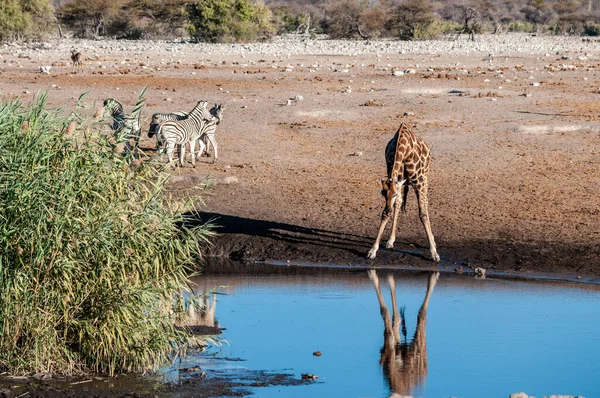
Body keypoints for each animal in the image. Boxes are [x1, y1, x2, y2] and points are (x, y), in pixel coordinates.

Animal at [366, 123, 440, 262]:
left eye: (393, 194)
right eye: (382, 194)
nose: (388, 210)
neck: (404, 150)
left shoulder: (418, 182)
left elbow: (422, 214)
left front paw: (434, 253)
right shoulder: (395, 179)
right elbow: (389, 210)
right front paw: (373, 250)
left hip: (425, 177)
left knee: (425, 202)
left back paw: (433, 240)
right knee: (399, 203)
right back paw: (391, 240)